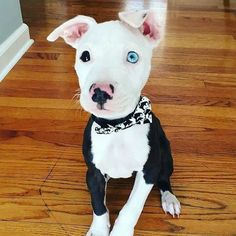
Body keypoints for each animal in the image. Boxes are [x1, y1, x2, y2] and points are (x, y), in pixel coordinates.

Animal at [47, 9, 181, 236]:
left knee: (164, 179)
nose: (100, 92)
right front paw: (99, 229)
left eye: (132, 57)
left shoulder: (149, 171)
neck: (116, 127)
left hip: (166, 155)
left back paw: (169, 198)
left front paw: (121, 231)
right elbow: (98, 205)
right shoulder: (93, 173)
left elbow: (131, 208)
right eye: (85, 56)